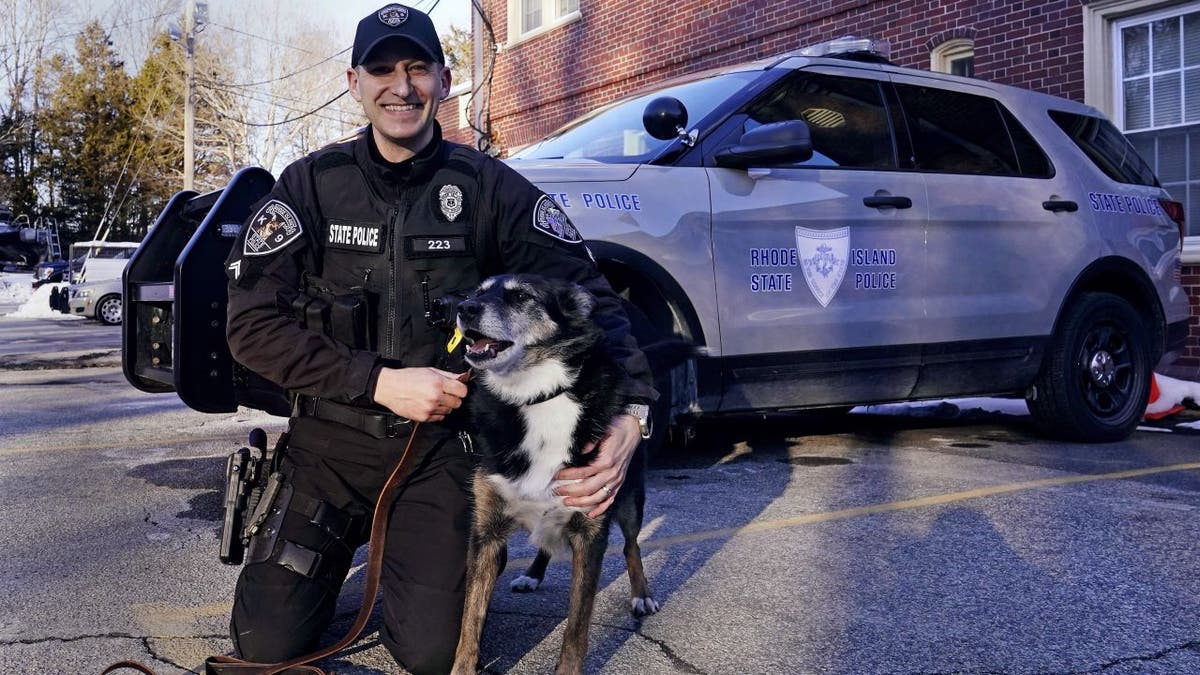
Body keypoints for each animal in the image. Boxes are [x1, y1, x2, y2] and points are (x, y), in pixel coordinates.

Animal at [448, 273, 657, 672]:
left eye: (520, 296)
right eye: (477, 292)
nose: (464, 308)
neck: (536, 397)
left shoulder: (590, 531)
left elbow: (576, 628)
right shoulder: (485, 532)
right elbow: (469, 622)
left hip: (629, 500)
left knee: (631, 545)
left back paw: (642, 596)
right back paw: (531, 576)